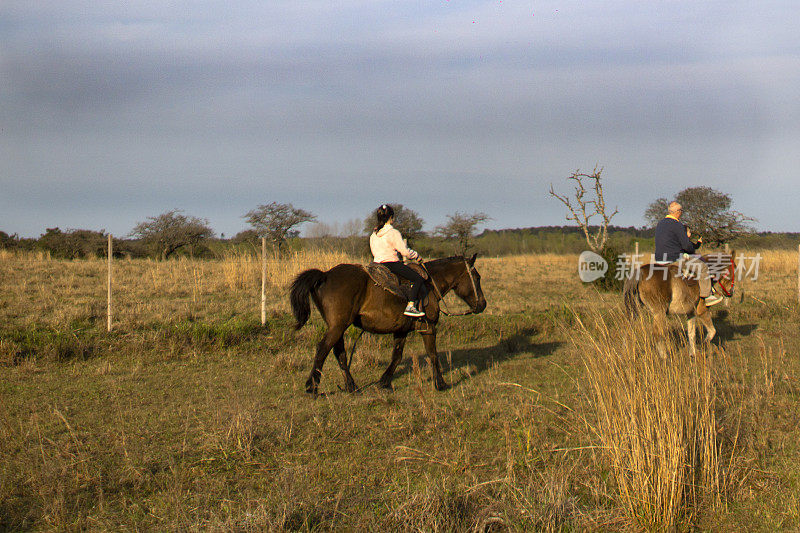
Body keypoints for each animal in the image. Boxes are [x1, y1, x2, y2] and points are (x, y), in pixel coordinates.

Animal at [290, 254, 488, 394]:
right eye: (477, 277)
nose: (483, 304)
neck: (430, 285)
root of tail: (324, 275)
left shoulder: (401, 330)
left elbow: (397, 356)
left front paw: (384, 382)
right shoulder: (429, 328)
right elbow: (433, 355)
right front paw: (441, 384)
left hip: (338, 327)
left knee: (340, 354)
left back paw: (351, 386)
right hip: (337, 326)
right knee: (323, 349)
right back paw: (312, 386)